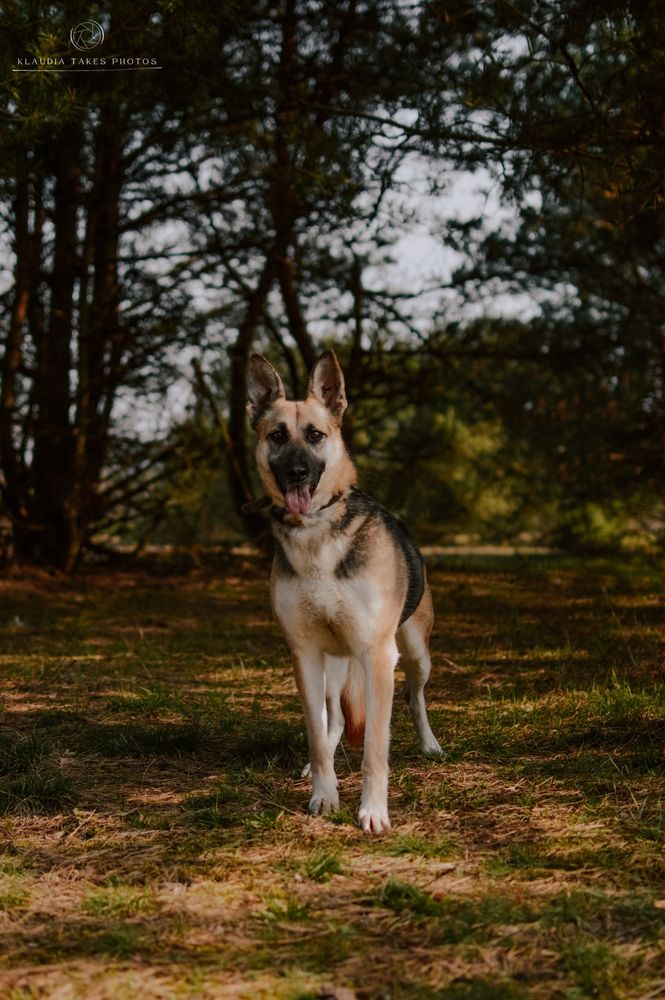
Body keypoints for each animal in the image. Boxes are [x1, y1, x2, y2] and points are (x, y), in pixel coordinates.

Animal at [245, 352, 440, 836]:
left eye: (316, 435)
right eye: (277, 436)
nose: (296, 473)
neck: (316, 530)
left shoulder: (377, 654)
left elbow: (375, 748)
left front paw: (372, 811)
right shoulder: (304, 655)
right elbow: (317, 737)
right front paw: (324, 794)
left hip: (413, 653)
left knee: (414, 698)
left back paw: (429, 743)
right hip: (332, 668)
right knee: (331, 720)